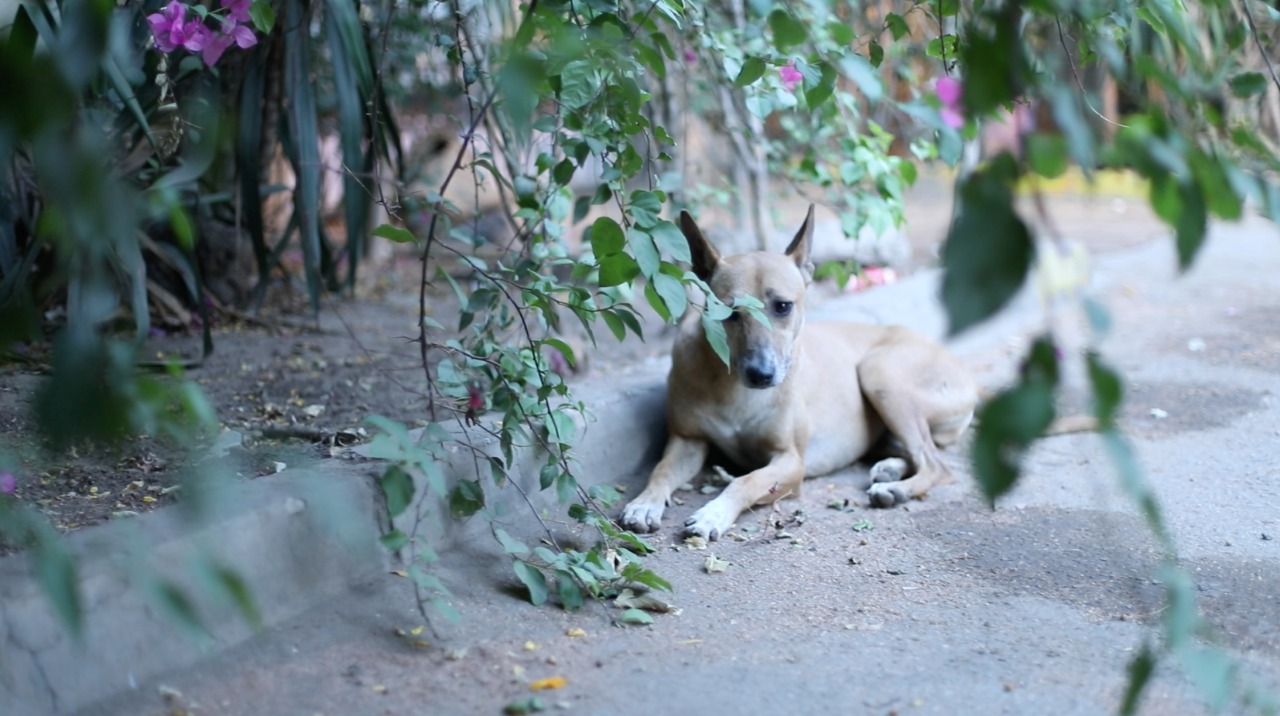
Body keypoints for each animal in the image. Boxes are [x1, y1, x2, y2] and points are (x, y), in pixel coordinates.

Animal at [619, 204, 977, 540]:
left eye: (782, 306)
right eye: (731, 312)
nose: (761, 374)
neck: (733, 388)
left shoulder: (790, 460)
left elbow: (746, 481)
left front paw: (713, 514)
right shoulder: (687, 440)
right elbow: (661, 470)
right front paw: (644, 503)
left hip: (879, 374)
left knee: (936, 464)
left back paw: (895, 488)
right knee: (921, 453)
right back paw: (890, 469)